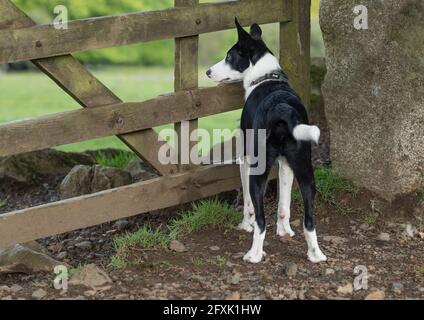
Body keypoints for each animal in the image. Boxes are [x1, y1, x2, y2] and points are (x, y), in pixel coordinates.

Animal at [207, 18, 326, 262]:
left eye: (229, 57)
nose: (207, 72)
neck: (265, 78)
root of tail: (282, 108)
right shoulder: (286, 165)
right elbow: (284, 204)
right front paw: (285, 230)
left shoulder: (244, 159)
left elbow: (248, 205)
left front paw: (245, 224)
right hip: (306, 172)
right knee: (309, 220)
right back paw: (315, 254)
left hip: (258, 170)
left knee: (261, 220)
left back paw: (254, 254)